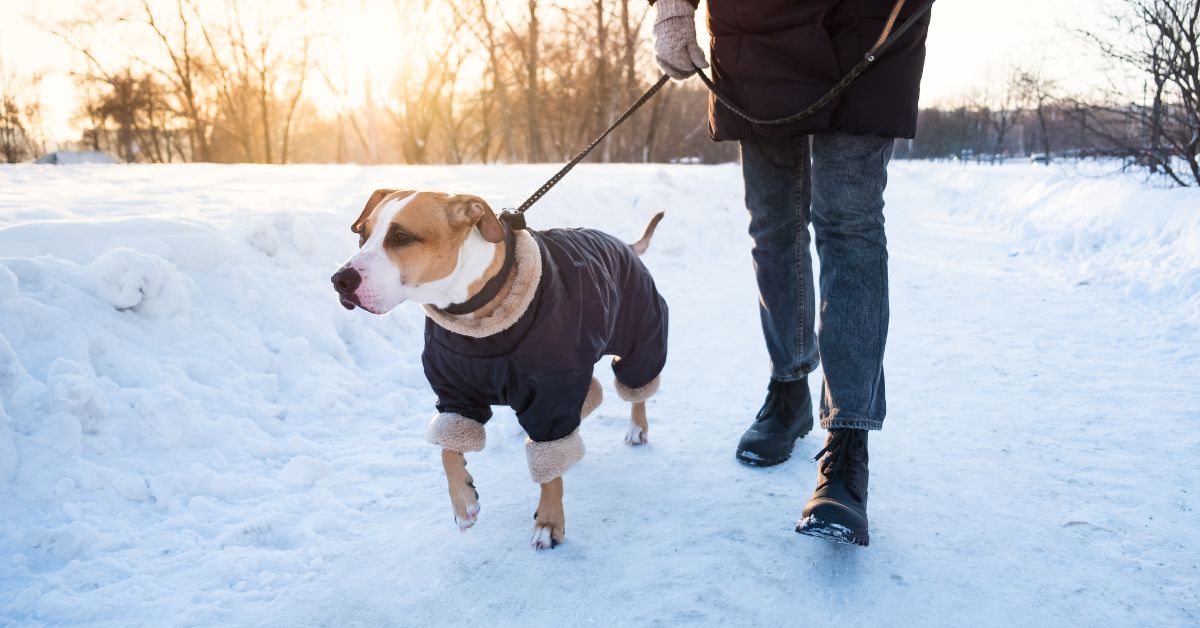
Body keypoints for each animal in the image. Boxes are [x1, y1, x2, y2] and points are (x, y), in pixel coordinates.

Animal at [331, 190, 667, 549]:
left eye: (401, 237)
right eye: (362, 234)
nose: (340, 280)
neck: (474, 315)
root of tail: (623, 244)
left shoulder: (551, 393)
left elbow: (550, 469)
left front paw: (549, 522)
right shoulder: (455, 394)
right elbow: (448, 450)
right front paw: (463, 502)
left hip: (641, 332)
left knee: (637, 384)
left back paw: (637, 428)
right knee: (594, 392)